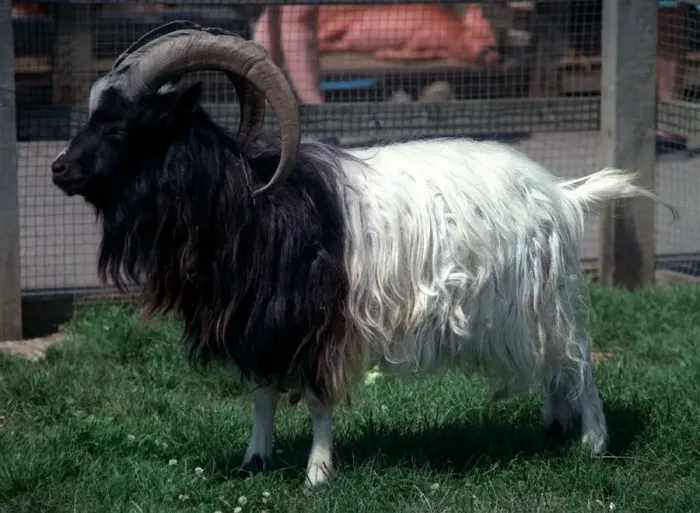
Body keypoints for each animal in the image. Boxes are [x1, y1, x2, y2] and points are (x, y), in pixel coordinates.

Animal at [51, 21, 675, 487]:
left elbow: (318, 400)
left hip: (540, 301)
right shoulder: (260, 325)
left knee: (579, 362)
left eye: (120, 127)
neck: (251, 202)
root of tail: (563, 193)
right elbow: (262, 398)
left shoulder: (317, 323)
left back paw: (593, 444)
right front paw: (255, 461)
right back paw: (556, 428)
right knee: (555, 369)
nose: (59, 169)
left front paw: (317, 474)